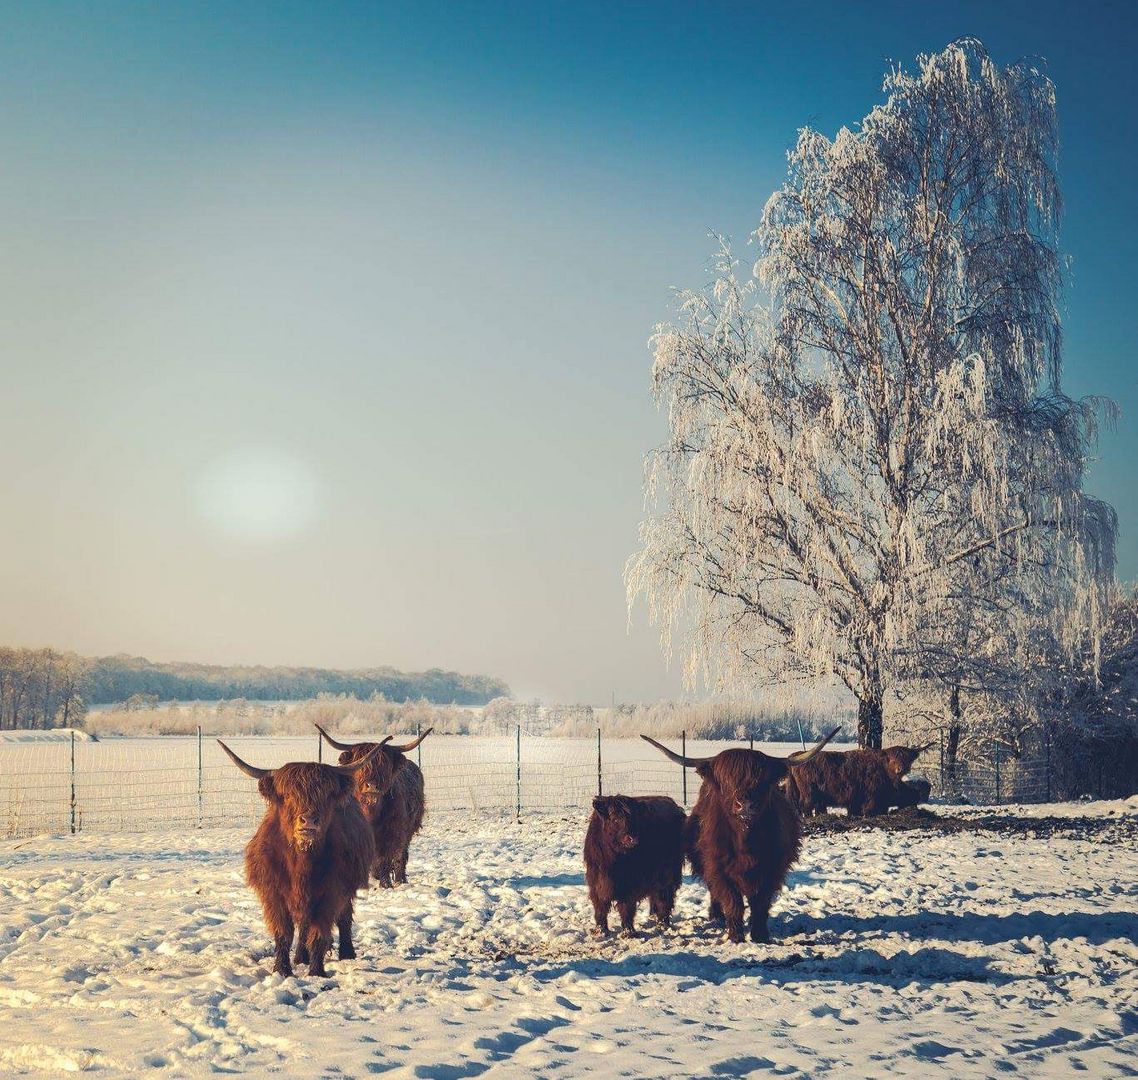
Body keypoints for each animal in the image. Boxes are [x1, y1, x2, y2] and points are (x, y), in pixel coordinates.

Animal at [218, 742, 382, 978]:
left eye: (326, 795)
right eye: (287, 795)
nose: (309, 821)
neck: (300, 863)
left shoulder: (332, 893)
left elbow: (320, 932)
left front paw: (316, 972)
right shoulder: (273, 893)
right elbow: (283, 932)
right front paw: (282, 970)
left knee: (343, 917)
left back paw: (346, 953)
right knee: (304, 923)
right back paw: (300, 957)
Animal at [316, 723, 430, 883]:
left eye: (384, 766)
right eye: (361, 766)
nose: (372, 786)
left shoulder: (391, 833)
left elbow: (384, 859)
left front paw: (384, 882)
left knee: (401, 856)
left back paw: (400, 880)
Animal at [587, 792, 682, 937]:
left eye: (633, 820)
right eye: (615, 819)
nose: (632, 839)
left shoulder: (629, 885)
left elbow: (626, 908)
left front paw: (629, 932)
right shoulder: (597, 884)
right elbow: (600, 908)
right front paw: (600, 930)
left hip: (668, 875)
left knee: (664, 899)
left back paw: (662, 924)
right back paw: (653, 916)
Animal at [787, 742, 928, 819]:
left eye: (907, 760)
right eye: (892, 760)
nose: (900, 769)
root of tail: (795, 755)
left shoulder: (855, 802)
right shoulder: (870, 800)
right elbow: (869, 812)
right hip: (808, 793)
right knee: (805, 807)